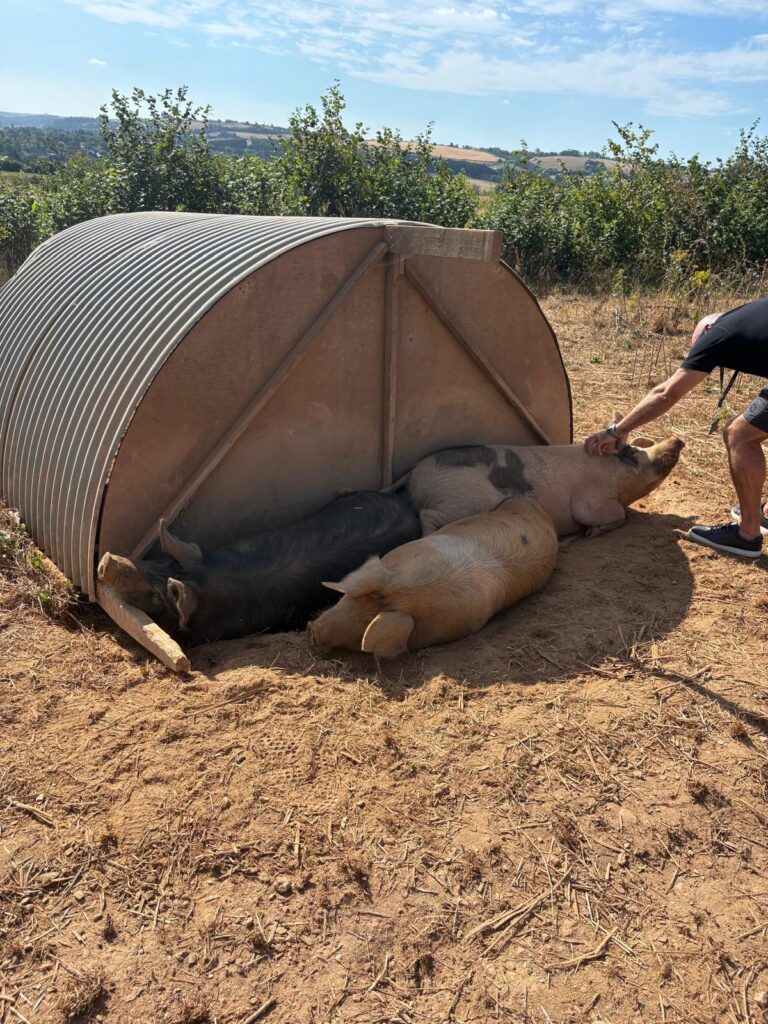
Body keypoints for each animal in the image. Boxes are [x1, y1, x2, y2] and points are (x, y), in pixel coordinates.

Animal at [405, 437, 685, 538]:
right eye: (635, 454)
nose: (678, 439)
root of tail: (415, 474)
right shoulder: (593, 500)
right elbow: (618, 515)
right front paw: (589, 533)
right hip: (465, 500)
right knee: (427, 515)